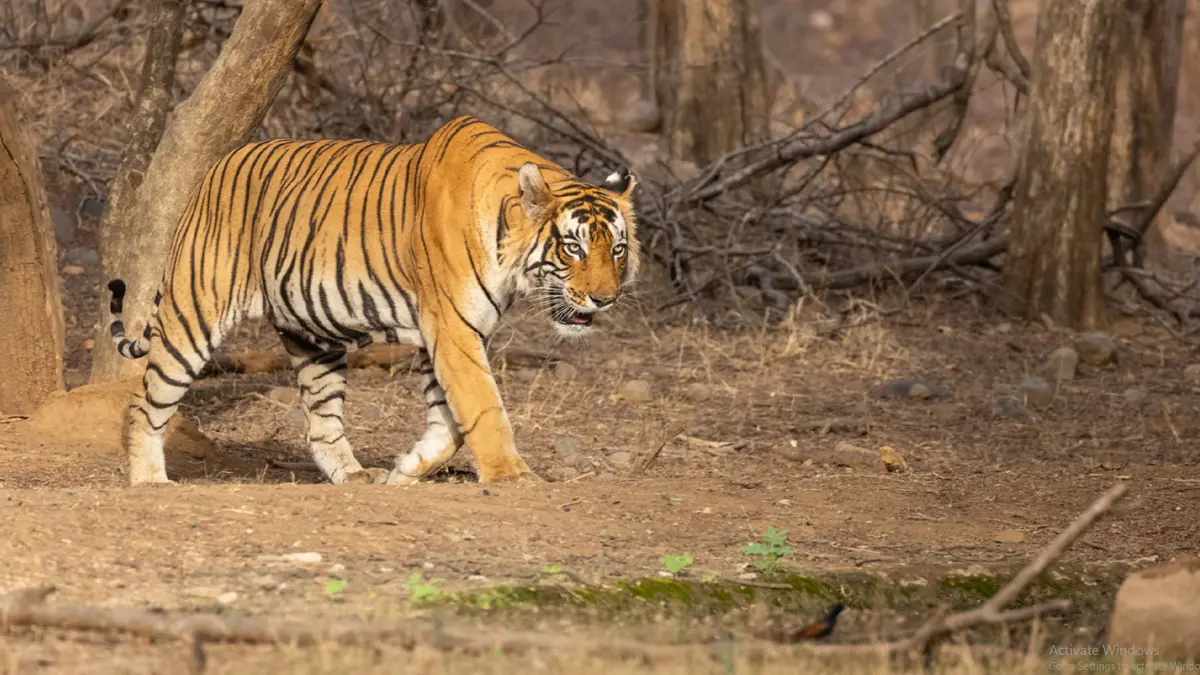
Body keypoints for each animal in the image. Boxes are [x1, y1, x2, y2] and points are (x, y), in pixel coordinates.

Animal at [108, 114, 643, 482]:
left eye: (616, 249)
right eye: (573, 247)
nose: (604, 299)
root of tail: (214, 169)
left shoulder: (445, 336)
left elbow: (450, 421)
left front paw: (408, 468)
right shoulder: (452, 330)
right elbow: (483, 407)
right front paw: (513, 477)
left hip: (313, 337)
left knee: (322, 424)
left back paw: (355, 476)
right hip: (194, 313)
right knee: (144, 402)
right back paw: (150, 480)